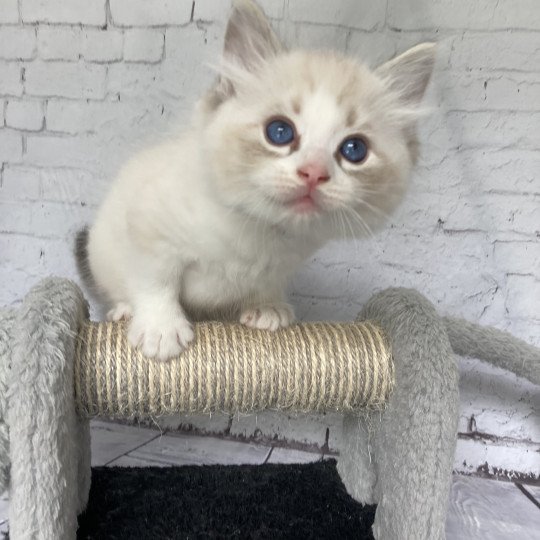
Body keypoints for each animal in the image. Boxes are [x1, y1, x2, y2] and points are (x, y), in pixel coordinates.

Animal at [76, 1, 436, 362]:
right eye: (279, 132)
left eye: (354, 150)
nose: (313, 173)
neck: (258, 231)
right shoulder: (150, 226)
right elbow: (156, 279)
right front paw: (160, 329)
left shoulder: (281, 267)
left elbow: (265, 287)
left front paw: (267, 307)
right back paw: (123, 311)